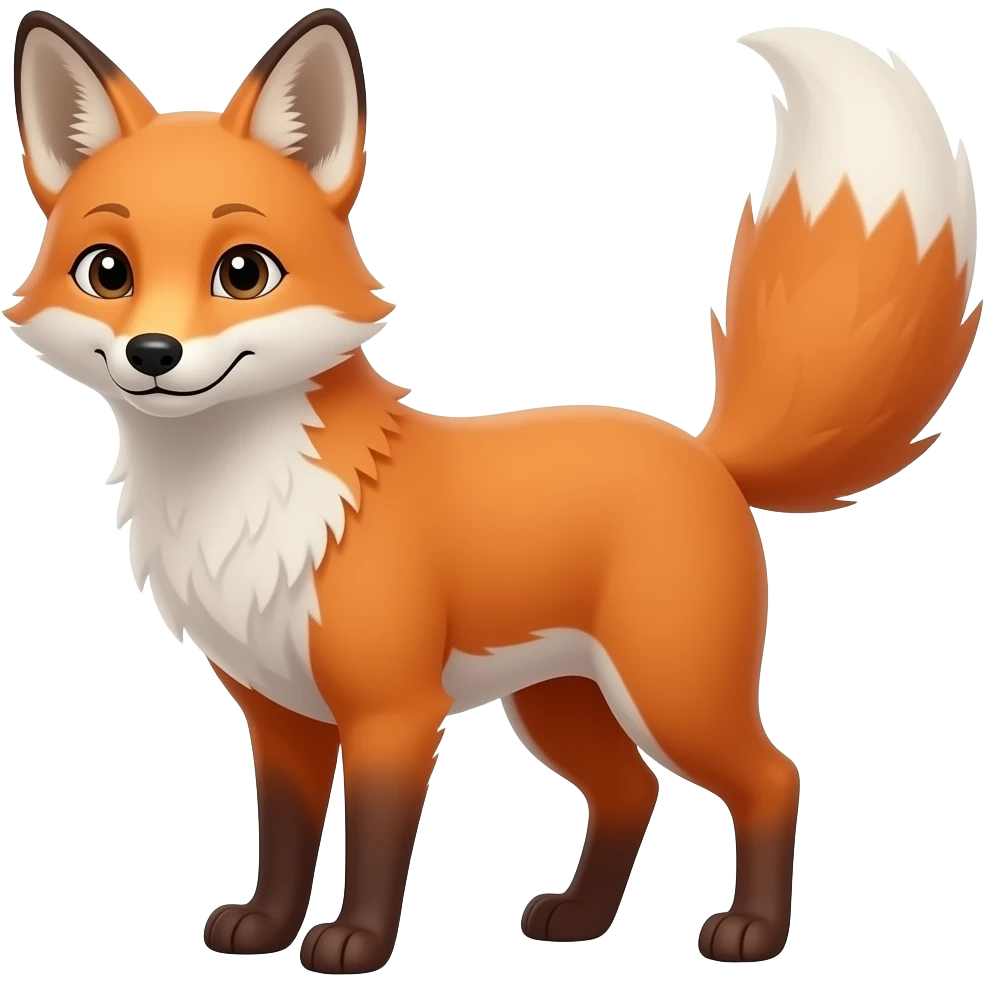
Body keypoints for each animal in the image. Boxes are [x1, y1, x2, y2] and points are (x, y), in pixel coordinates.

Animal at [7, 9, 981, 973]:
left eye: (243, 272)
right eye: (107, 271)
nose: (153, 354)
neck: (243, 496)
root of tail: (703, 451)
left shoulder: (394, 710)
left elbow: (377, 841)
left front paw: (356, 943)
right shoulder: (279, 714)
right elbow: (283, 838)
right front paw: (265, 927)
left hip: (673, 691)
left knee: (774, 778)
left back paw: (753, 933)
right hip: (561, 702)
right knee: (631, 791)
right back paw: (581, 918)